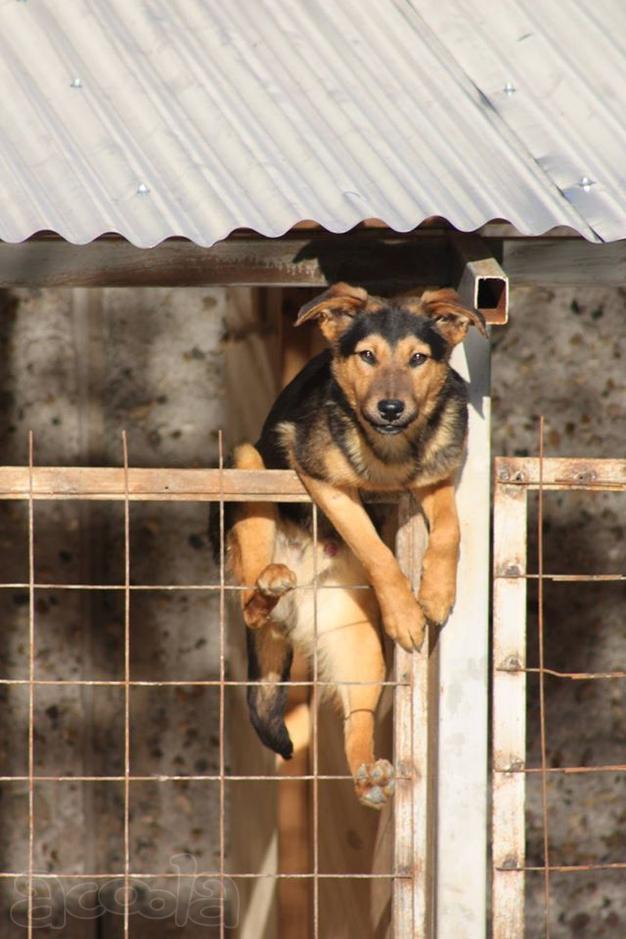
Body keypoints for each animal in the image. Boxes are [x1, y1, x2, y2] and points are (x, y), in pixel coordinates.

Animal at [222, 282, 486, 812]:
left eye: (418, 359)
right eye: (367, 356)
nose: (391, 409)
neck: (390, 446)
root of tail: (296, 603)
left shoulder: (434, 478)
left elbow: (450, 530)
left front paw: (436, 592)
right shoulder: (324, 480)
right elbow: (373, 547)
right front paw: (405, 612)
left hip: (360, 647)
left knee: (356, 719)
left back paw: (369, 776)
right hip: (247, 466)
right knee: (250, 606)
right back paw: (267, 587)